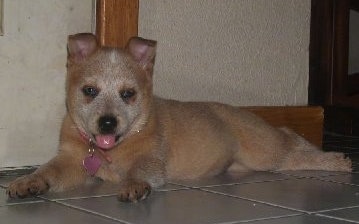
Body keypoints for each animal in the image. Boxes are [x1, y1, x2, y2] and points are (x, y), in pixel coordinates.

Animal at [7, 32, 352, 201]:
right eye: (89, 90)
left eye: (128, 94)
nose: (107, 122)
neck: (110, 150)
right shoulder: (71, 160)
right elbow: (48, 170)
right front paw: (27, 181)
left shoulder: (150, 159)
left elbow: (140, 171)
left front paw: (134, 185)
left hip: (266, 152)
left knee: (292, 145)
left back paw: (337, 160)